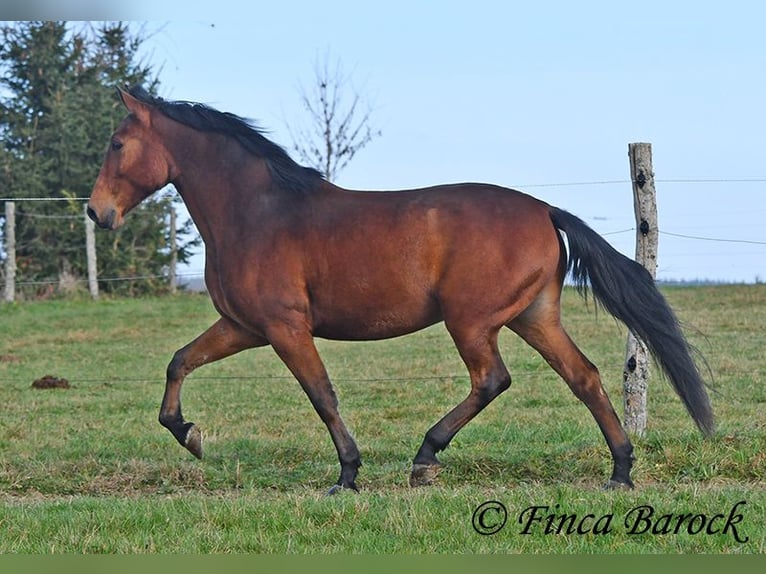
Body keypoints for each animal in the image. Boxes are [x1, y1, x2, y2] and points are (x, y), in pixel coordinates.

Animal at [87, 86, 716, 496]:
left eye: (117, 143)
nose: (98, 213)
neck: (256, 212)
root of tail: (543, 209)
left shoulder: (285, 328)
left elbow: (323, 396)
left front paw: (347, 476)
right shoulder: (244, 326)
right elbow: (179, 361)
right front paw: (189, 434)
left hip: (472, 321)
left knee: (493, 379)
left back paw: (425, 457)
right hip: (534, 316)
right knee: (582, 377)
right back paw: (620, 472)